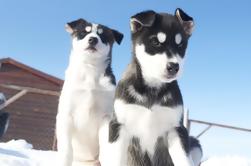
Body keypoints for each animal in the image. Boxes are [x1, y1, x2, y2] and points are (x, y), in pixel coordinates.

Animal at [56, 18, 123, 166]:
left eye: (102, 36)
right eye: (83, 33)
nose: (93, 39)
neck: (90, 70)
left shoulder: (106, 117)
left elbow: (105, 149)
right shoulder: (66, 115)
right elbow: (66, 150)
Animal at [98, 8, 202, 166]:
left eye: (181, 45)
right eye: (155, 42)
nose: (174, 67)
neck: (151, 89)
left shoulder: (176, 129)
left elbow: (184, 160)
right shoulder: (119, 126)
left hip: (195, 144)